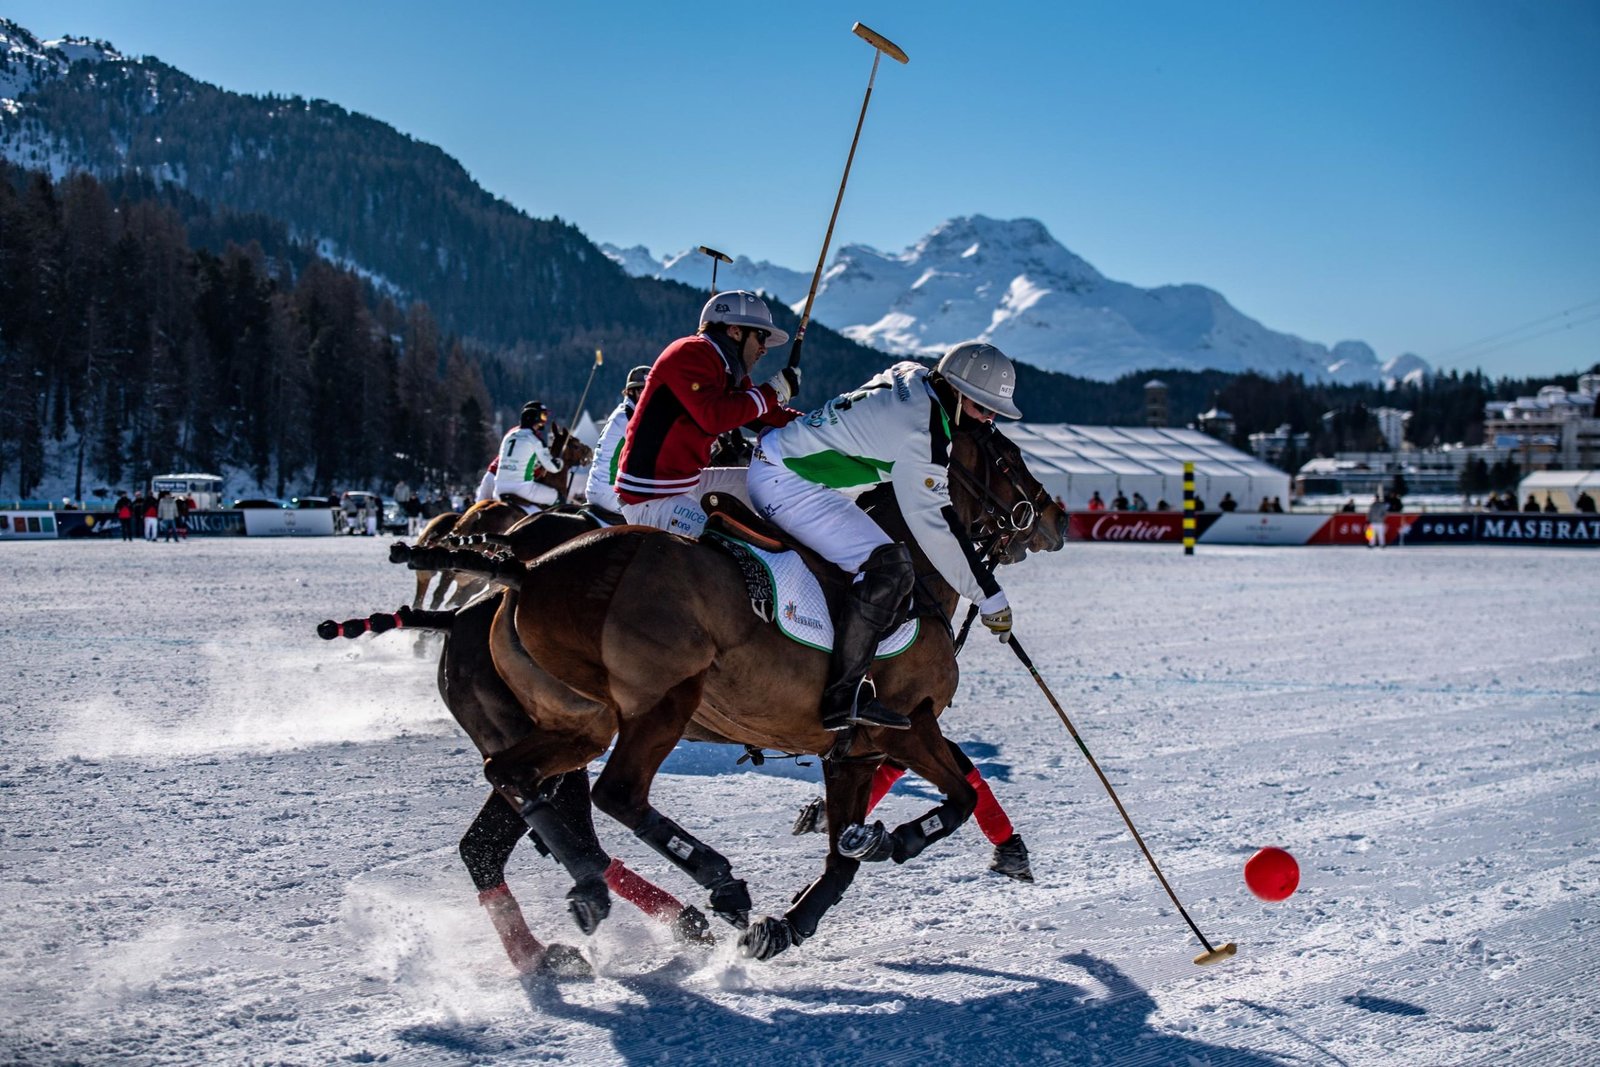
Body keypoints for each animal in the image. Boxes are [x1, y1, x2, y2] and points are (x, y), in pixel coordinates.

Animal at [444, 422, 1068, 959]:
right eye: (1008, 458)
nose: (1057, 518)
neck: (920, 566)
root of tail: (525, 573)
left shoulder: (854, 753)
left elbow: (844, 858)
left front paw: (793, 918)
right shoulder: (908, 724)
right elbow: (958, 795)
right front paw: (899, 840)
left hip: (578, 724)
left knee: (511, 786)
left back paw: (586, 904)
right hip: (665, 700)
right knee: (615, 794)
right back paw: (711, 886)